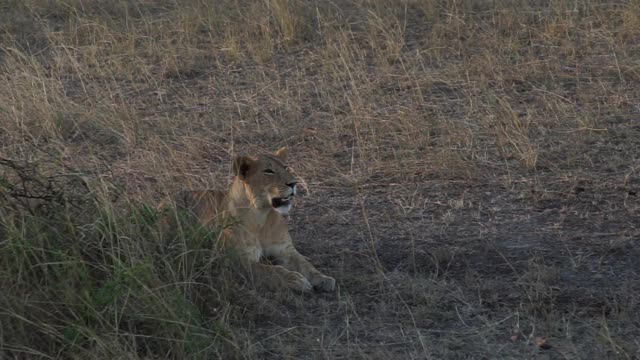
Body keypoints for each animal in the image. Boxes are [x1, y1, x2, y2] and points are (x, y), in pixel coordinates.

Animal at [172, 147, 338, 292]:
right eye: (268, 171)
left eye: (286, 167)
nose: (294, 183)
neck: (262, 217)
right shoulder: (238, 261)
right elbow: (270, 270)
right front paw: (295, 279)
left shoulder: (285, 249)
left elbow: (305, 264)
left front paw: (323, 278)